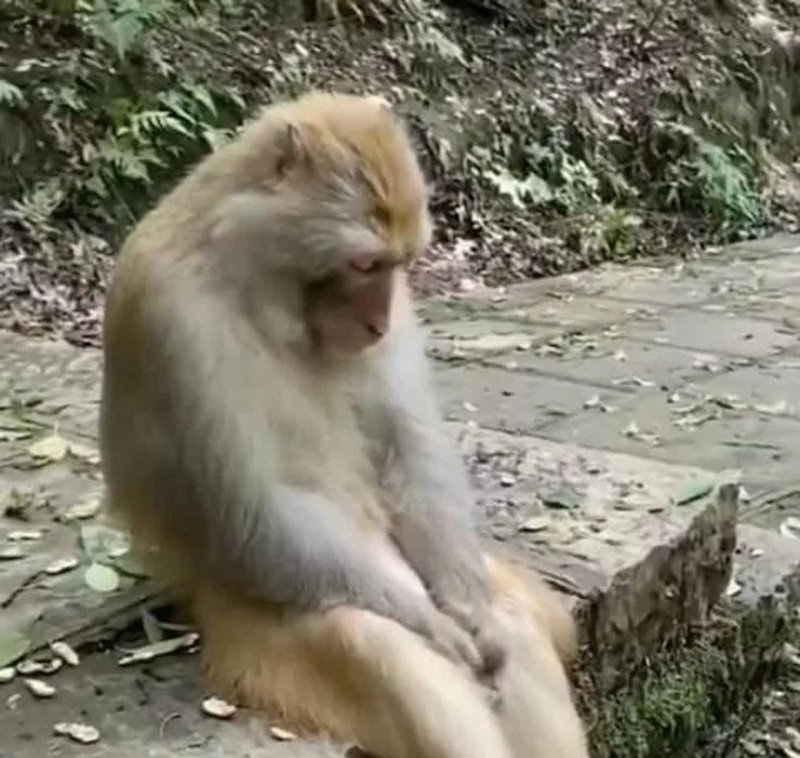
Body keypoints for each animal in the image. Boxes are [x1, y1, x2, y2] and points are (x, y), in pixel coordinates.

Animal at [99, 91, 589, 758]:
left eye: (398, 265)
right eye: (363, 263)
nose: (377, 323)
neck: (250, 277)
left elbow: (410, 445)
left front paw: (468, 616)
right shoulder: (171, 319)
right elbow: (253, 507)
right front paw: (438, 627)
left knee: (512, 627)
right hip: (262, 638)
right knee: (379, 644)